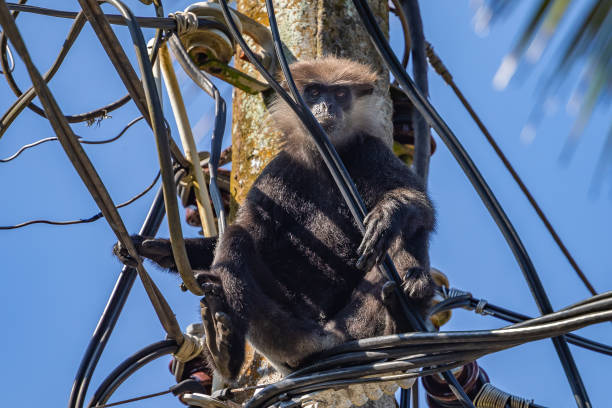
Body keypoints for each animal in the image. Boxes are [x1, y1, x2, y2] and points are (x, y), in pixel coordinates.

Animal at [113, 55, 436, 380]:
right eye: (314, 92)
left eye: (341, 93)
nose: (326, 107)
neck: (322, 160)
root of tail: (325, 336)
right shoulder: (279, 171)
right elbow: (247, 230)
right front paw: (153, 247)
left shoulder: (370, 149)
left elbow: (418, 205)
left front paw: (386, 215)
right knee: (238, 238)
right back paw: (224, 350)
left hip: (355, 320)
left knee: (406, 235)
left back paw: (405, 307)